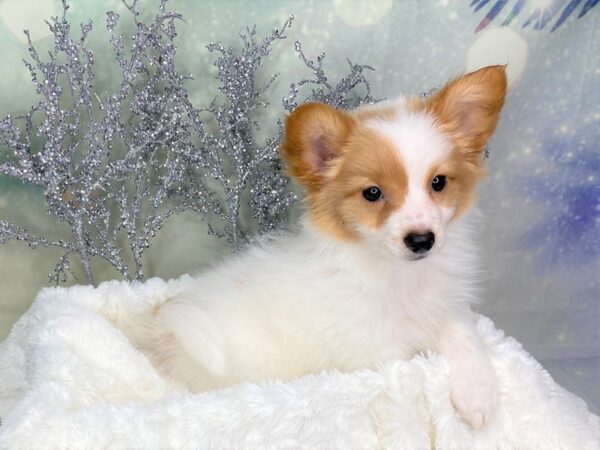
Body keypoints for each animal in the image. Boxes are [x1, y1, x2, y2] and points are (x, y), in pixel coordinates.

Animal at [135, 65, 506, 428]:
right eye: (372, 193)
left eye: (438, 182)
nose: (421, 240)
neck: (398, 274)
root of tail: (164, 320)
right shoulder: (376, 351)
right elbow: (413, 366)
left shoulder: (446, 307)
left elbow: (464, 337)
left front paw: (478, 396)